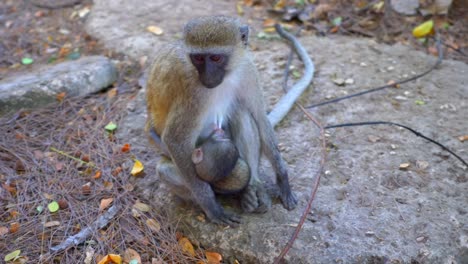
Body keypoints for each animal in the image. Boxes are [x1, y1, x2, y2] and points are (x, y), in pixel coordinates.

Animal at [146, 16, 298, 227]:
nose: (208, 76)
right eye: (199, 58)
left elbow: (260, 118)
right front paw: (211, 205)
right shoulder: (193, 90)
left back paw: (252, 187)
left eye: (216, 58)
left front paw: (283, 180)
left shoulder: (247, 70)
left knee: (241, 112)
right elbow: (175, 139)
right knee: (165, 169)